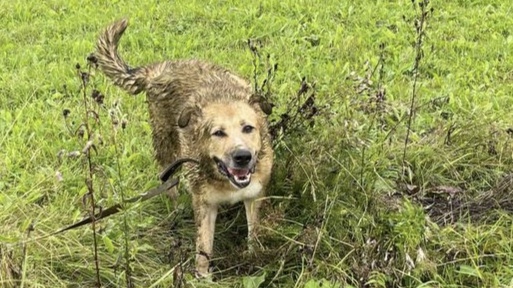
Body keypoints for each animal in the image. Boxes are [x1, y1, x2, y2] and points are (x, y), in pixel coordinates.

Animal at [94, 19, 274, 276]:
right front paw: (202, 276)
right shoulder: (205, 204)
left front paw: (253, 259)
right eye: (218, 133)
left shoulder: (255, 195)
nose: (242, 156)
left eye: (248, 128)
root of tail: (157, 69)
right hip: (166, 152)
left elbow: (254, 234)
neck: (223, 178)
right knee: (169, 187)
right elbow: (203, 247)